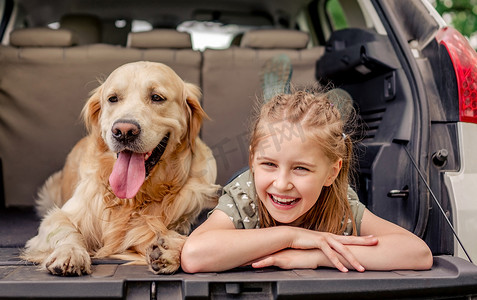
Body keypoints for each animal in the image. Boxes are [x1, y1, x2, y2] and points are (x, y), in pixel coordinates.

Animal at [20, 61, 218, 276]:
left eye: (157, 97)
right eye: (113, 99)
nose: (124, 131)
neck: (133, 199)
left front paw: (170, 249)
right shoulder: (62, 216)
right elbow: (65, 229)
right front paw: (70, 252)